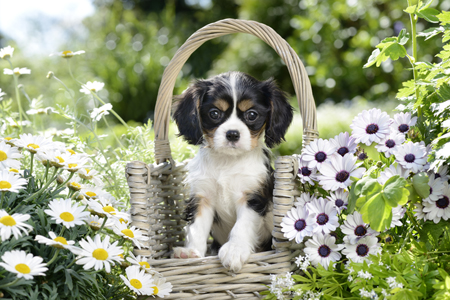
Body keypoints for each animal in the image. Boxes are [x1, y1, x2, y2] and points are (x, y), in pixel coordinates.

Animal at [171, 72, 292, 272]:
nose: (233, 134)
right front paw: (191, 252)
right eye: (214, 113)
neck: (228, 161)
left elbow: (241, 226)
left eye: (252, 115)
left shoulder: (252, 197)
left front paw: (235, 250)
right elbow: (197, 227)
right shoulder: (202, 198)